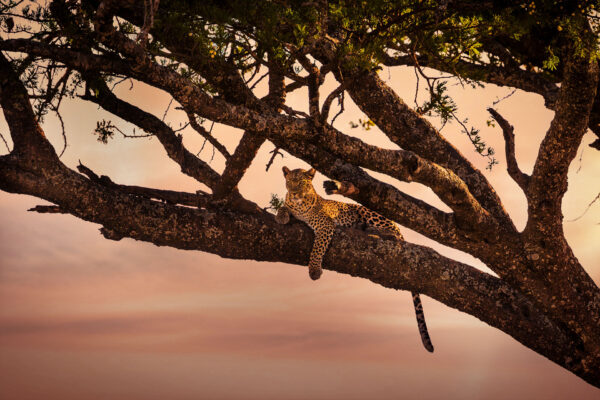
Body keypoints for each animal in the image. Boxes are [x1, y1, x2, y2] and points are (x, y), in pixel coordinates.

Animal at [274, 167, 434, 352]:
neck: (299, 204)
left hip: (367, 212)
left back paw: (376, 231)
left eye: (301, 182)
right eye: (290, 181)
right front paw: (281, 215)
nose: (294, 192)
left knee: (393, 234)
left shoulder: (325, 225)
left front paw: (314, 270)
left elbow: (317, 248)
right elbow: (283, 207)